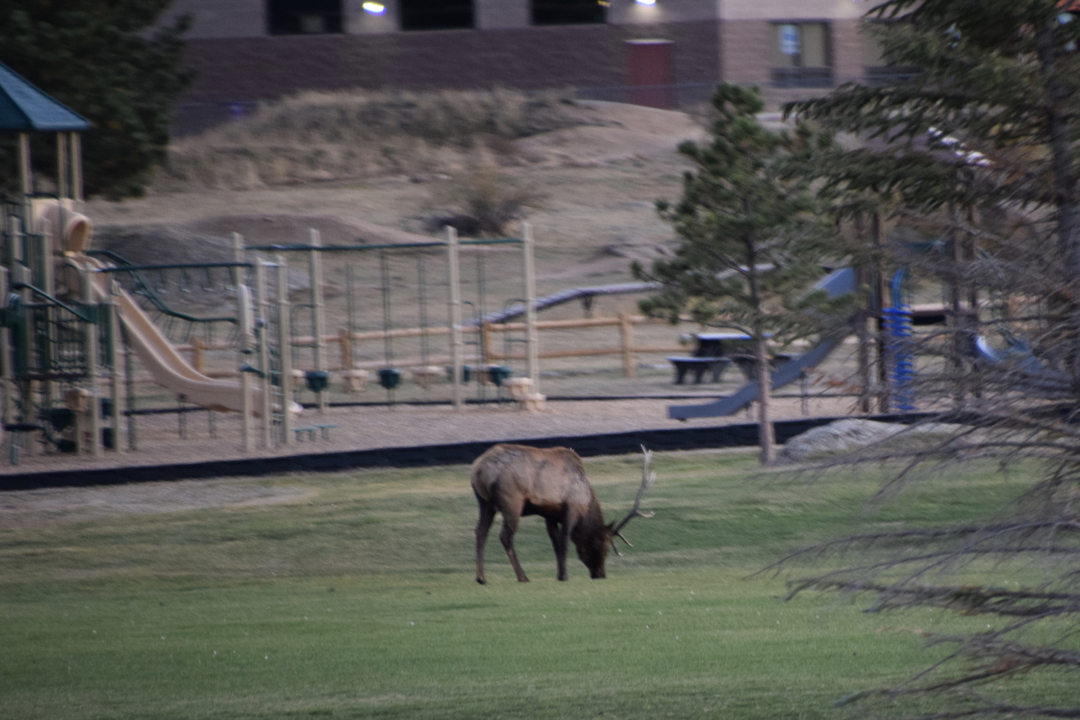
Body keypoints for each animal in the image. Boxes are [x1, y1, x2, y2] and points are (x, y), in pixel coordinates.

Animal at [473, 442, 656, 582]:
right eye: (605, 548)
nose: (600, 575)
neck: (586, 503)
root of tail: (479, 468)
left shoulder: (550, 514)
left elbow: (555, 543)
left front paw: (559, 574)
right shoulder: (571, 508)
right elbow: (565, 541)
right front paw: (565, 576)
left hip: (485, 502)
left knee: (481, 531)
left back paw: (481, 578)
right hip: (512, 501)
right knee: (505, 536)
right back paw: (522, 577)